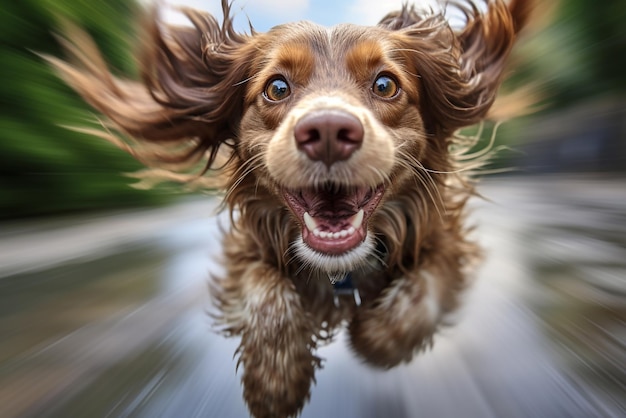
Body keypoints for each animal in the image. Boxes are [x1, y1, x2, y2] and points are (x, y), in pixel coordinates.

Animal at [51, 1, 532, 416]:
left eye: (385, 84)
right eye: (277, 87)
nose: (329, 131)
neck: (340, 274)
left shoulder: (448, 240)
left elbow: (423, 288)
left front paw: (376, 337)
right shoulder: (246, 250)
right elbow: (266, 295)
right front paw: (276, 381)